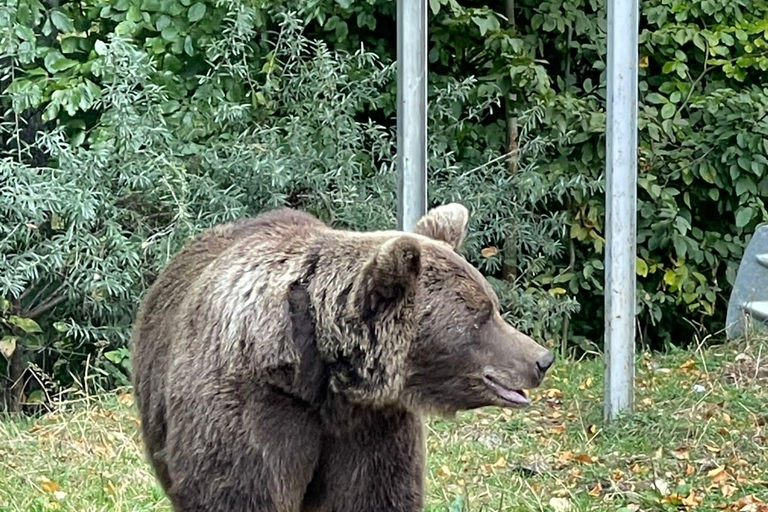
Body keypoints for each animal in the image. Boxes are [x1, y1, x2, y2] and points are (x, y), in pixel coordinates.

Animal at [130, 204, 552, 512]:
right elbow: (241, 490)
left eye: (492, 307)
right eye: (482, 317)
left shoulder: (370, 426)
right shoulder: (252, 411)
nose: (542, 359)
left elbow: (373, 496)